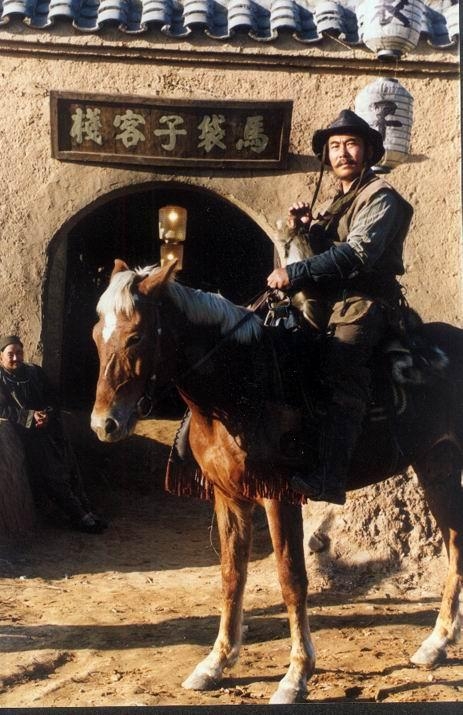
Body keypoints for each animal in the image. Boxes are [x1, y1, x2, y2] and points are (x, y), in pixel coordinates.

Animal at [90, 258, 463, 704]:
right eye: (96, 335)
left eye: (135, 337)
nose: (104, 424)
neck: (240, 387)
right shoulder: (229, 497)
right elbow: (231, 575)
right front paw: (216, 663)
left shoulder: (279, 497)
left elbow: (291, 579)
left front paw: (296, 675)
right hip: (437, 465)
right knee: (456, 543)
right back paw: (436, 643)